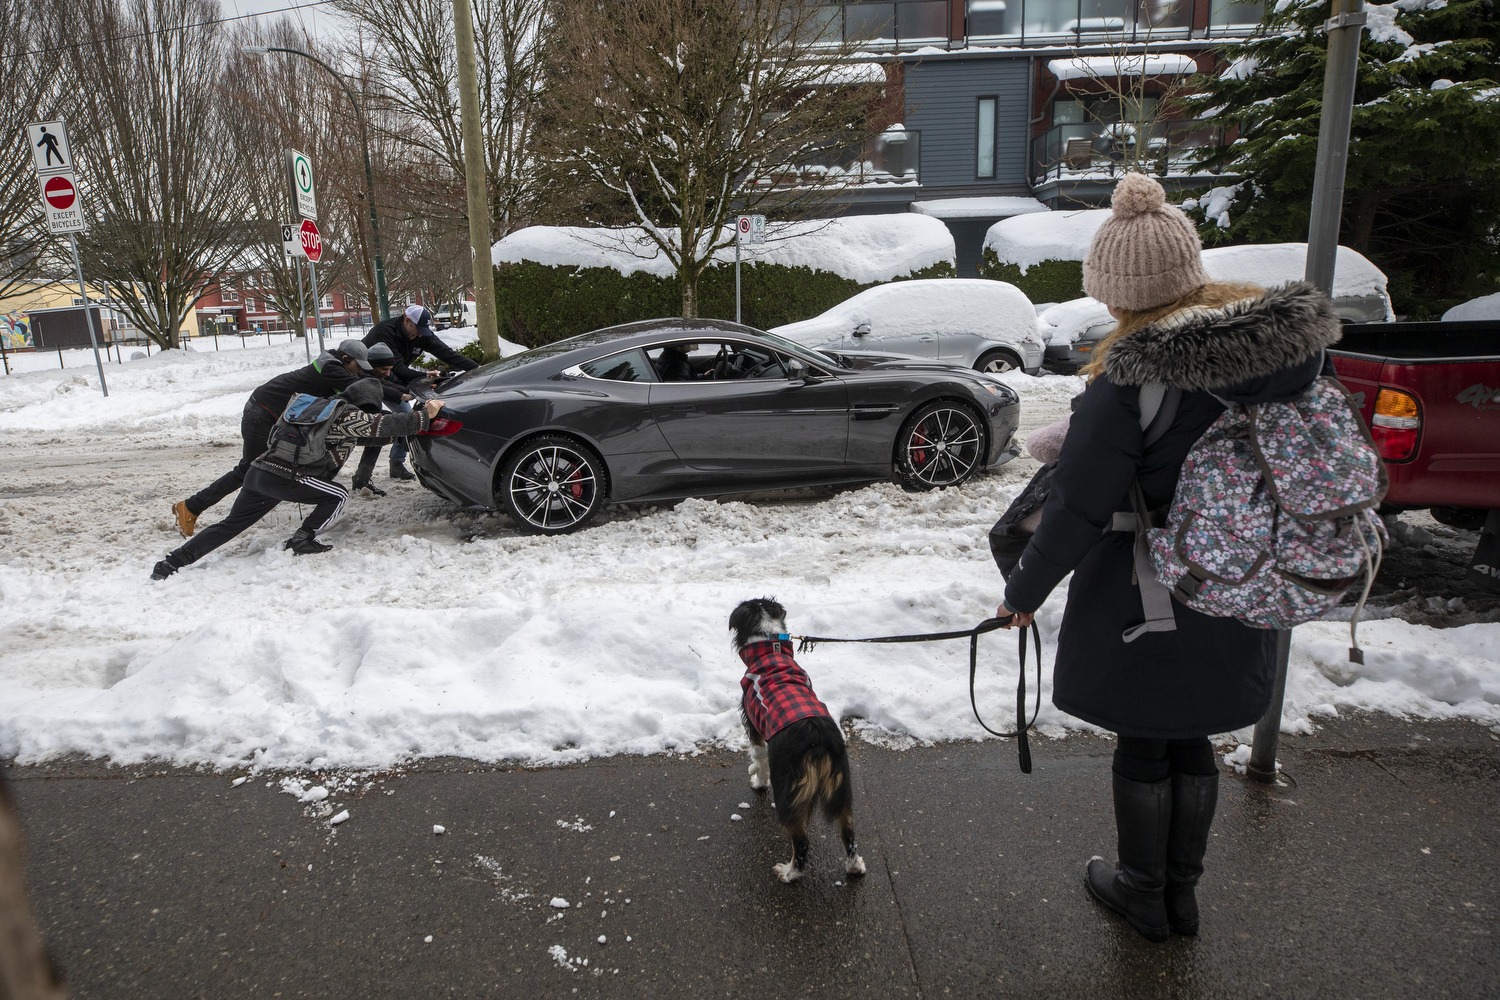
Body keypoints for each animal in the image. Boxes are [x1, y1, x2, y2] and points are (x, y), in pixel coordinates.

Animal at [729, 599, 870, 881]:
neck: (769, 646)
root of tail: (818, 737)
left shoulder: (755, 726)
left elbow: (759, 759)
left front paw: (758, 783)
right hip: (841, 785)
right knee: (848, 831)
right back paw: (854, 866)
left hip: (789, 789)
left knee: (801, 841)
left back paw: (789, 873)